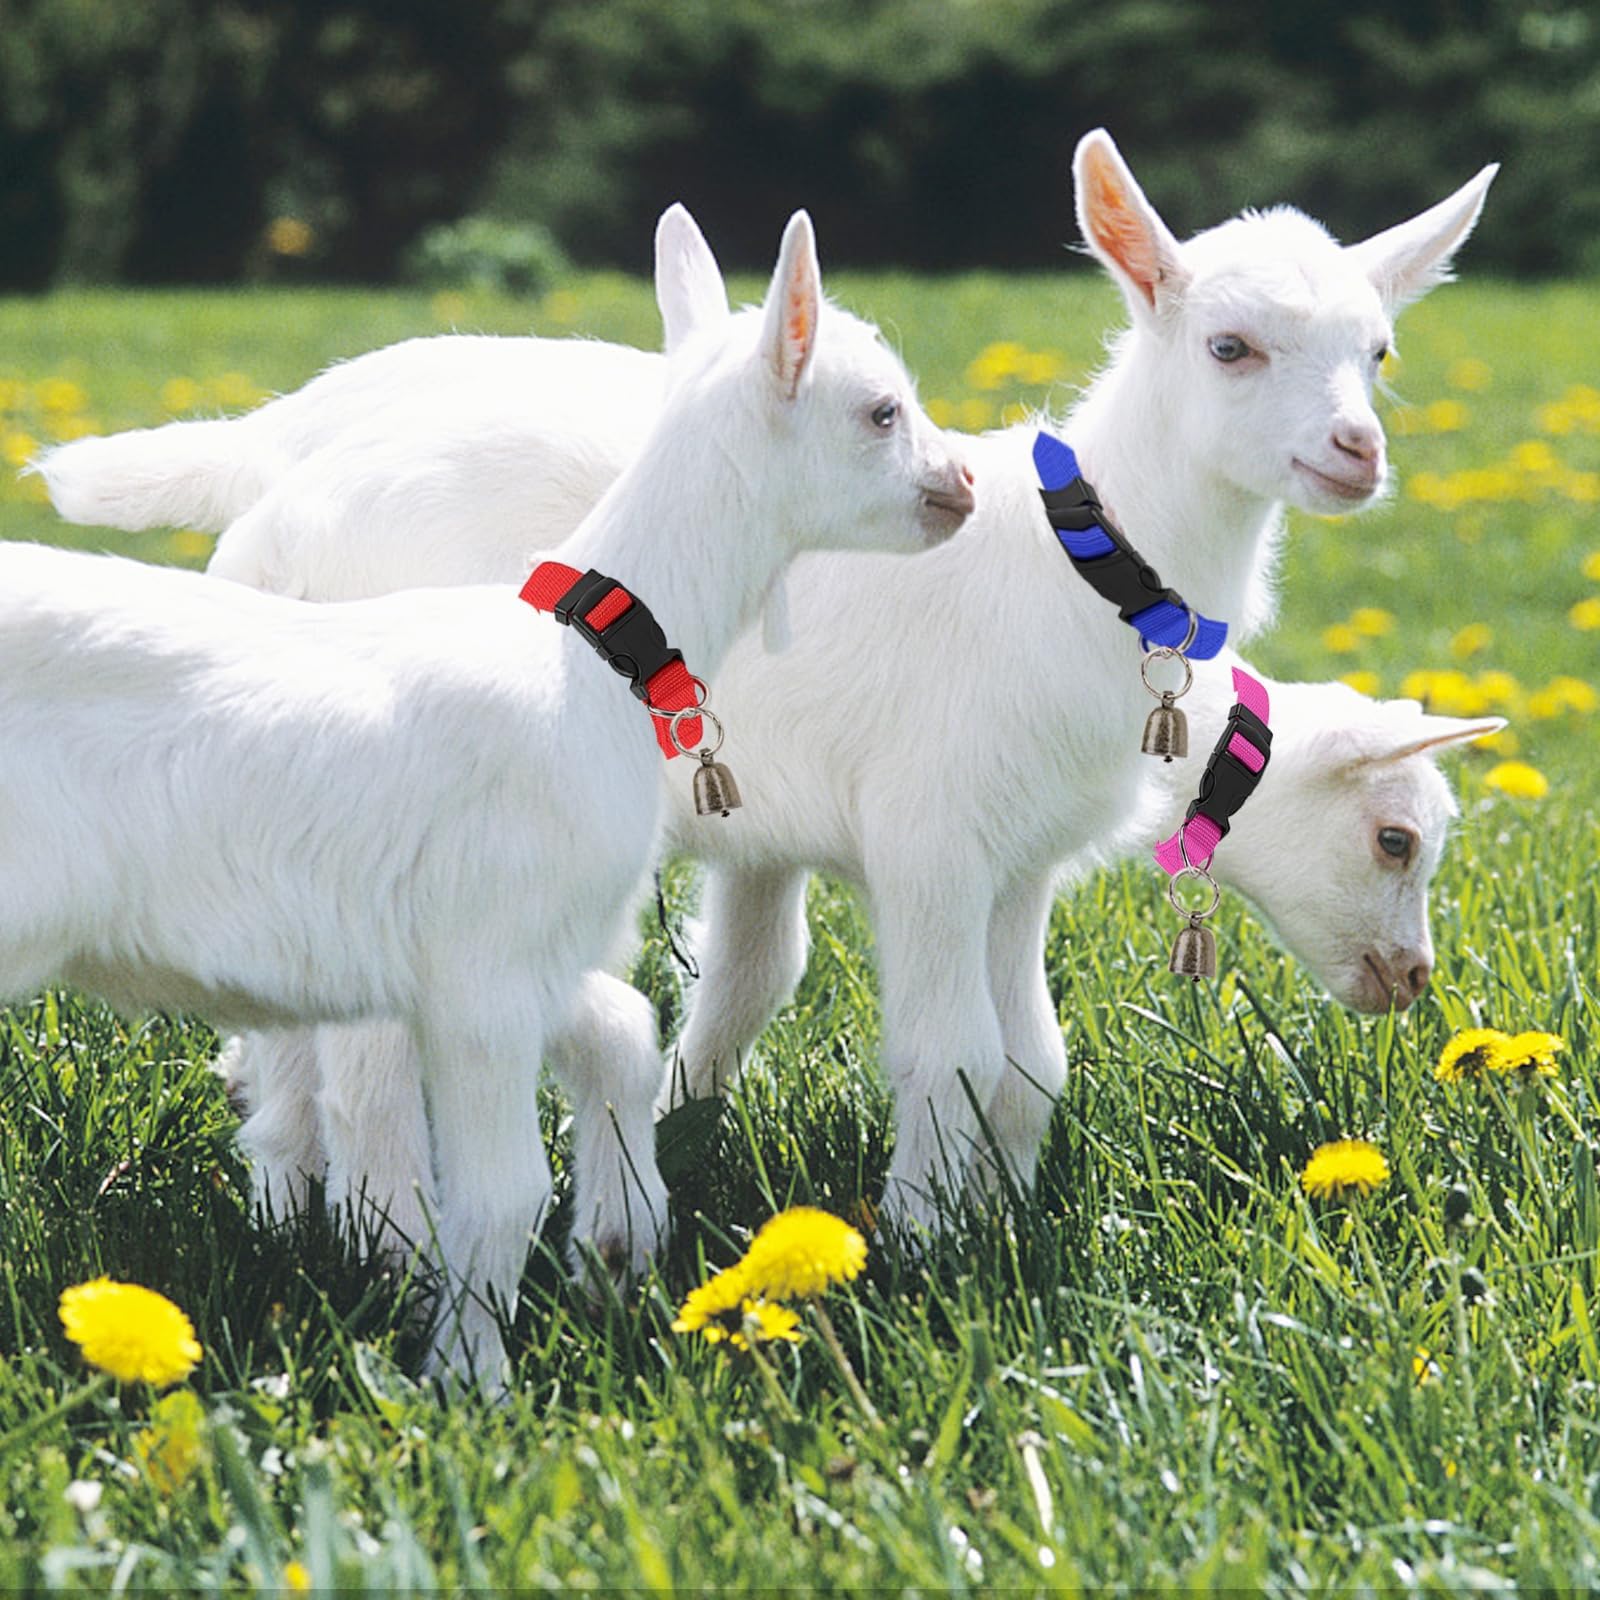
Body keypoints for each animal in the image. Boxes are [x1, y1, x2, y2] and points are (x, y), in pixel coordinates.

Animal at [0, 204, 972, 1377]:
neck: (582, 656)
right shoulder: (487, 967)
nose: (964, 488)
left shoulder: (513, 958)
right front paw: (470, 1378)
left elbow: (616, 1036)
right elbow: (504, 1193)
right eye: (881, 410)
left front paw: (619, 1241)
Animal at [37, 129, 1497, 1229]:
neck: (1077, 567)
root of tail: (272, 481)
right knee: (365, 1043)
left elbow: (1015, 1057)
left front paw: (993, 1207)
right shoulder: (928, 829)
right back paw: (375, 1228)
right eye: (1229, 348)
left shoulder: (1004, 853)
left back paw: (289, 1188)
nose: (1412, 983)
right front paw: (925, 1241)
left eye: (1379, 354)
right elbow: (947, 1048)